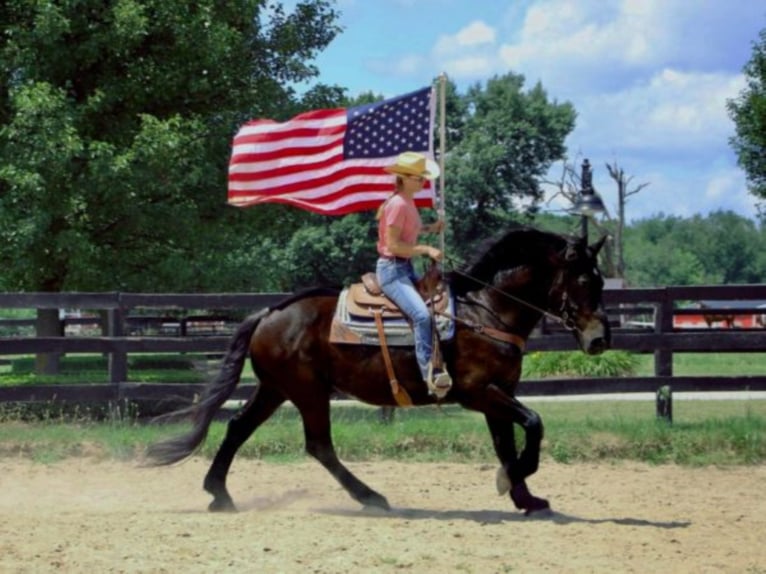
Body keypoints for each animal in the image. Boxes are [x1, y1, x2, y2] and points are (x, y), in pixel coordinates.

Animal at [146, 226, 612, 516]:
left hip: (275, 389)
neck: (484, 312)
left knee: (239, 428)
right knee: (319, 445)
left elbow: (507, 444)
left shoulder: (498, 394)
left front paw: (525, 498)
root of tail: (269, 314)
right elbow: (533, 423)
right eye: (584, 280)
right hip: (307, 392)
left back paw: (220, 495)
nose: (599, 339)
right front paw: (510, 482)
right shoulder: (478, 392)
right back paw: (371, 497)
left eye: (601, 281)